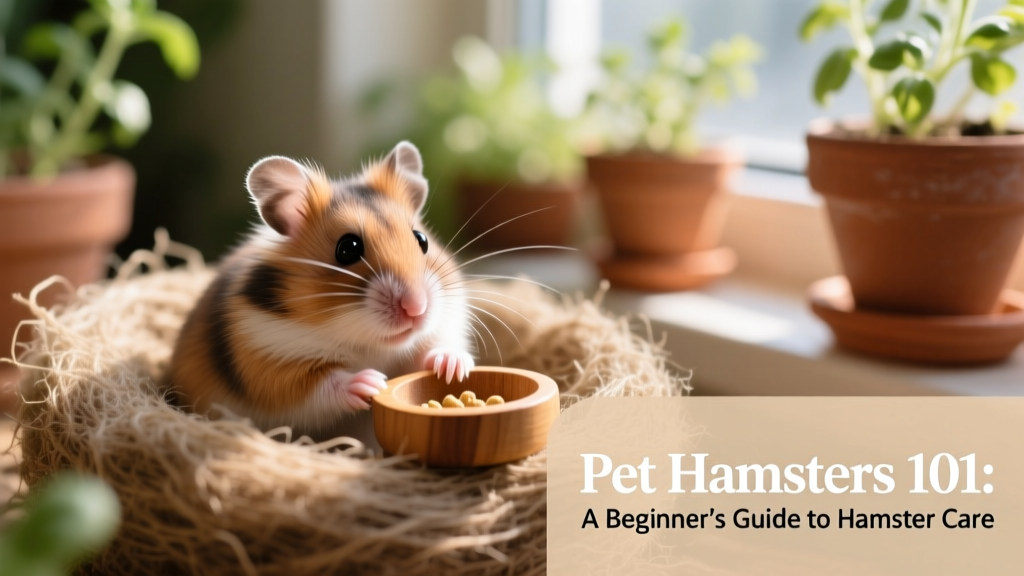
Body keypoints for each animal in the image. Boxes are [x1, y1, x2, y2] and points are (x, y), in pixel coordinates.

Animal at [167, 141, 474, 433]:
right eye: (347, 249)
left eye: (422, 240)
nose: (417, 308)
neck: (366, 342)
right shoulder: (269, 363)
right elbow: (318, 387)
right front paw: (372, 382)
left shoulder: (440, 327)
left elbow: (434, 349)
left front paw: (453, 368)